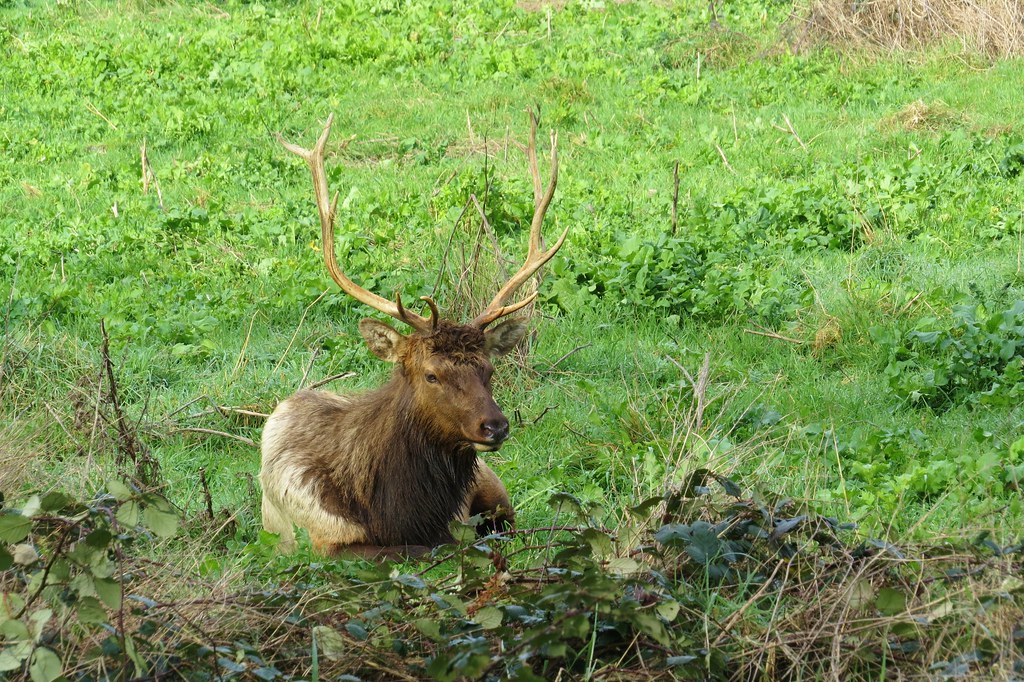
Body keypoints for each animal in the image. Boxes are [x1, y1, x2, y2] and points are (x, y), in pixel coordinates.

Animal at [259, 112, 565, 559]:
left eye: (489, 370)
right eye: (431, 375)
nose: (495, 427)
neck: (398, 512)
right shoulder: (327, 541)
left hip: (492, 483)